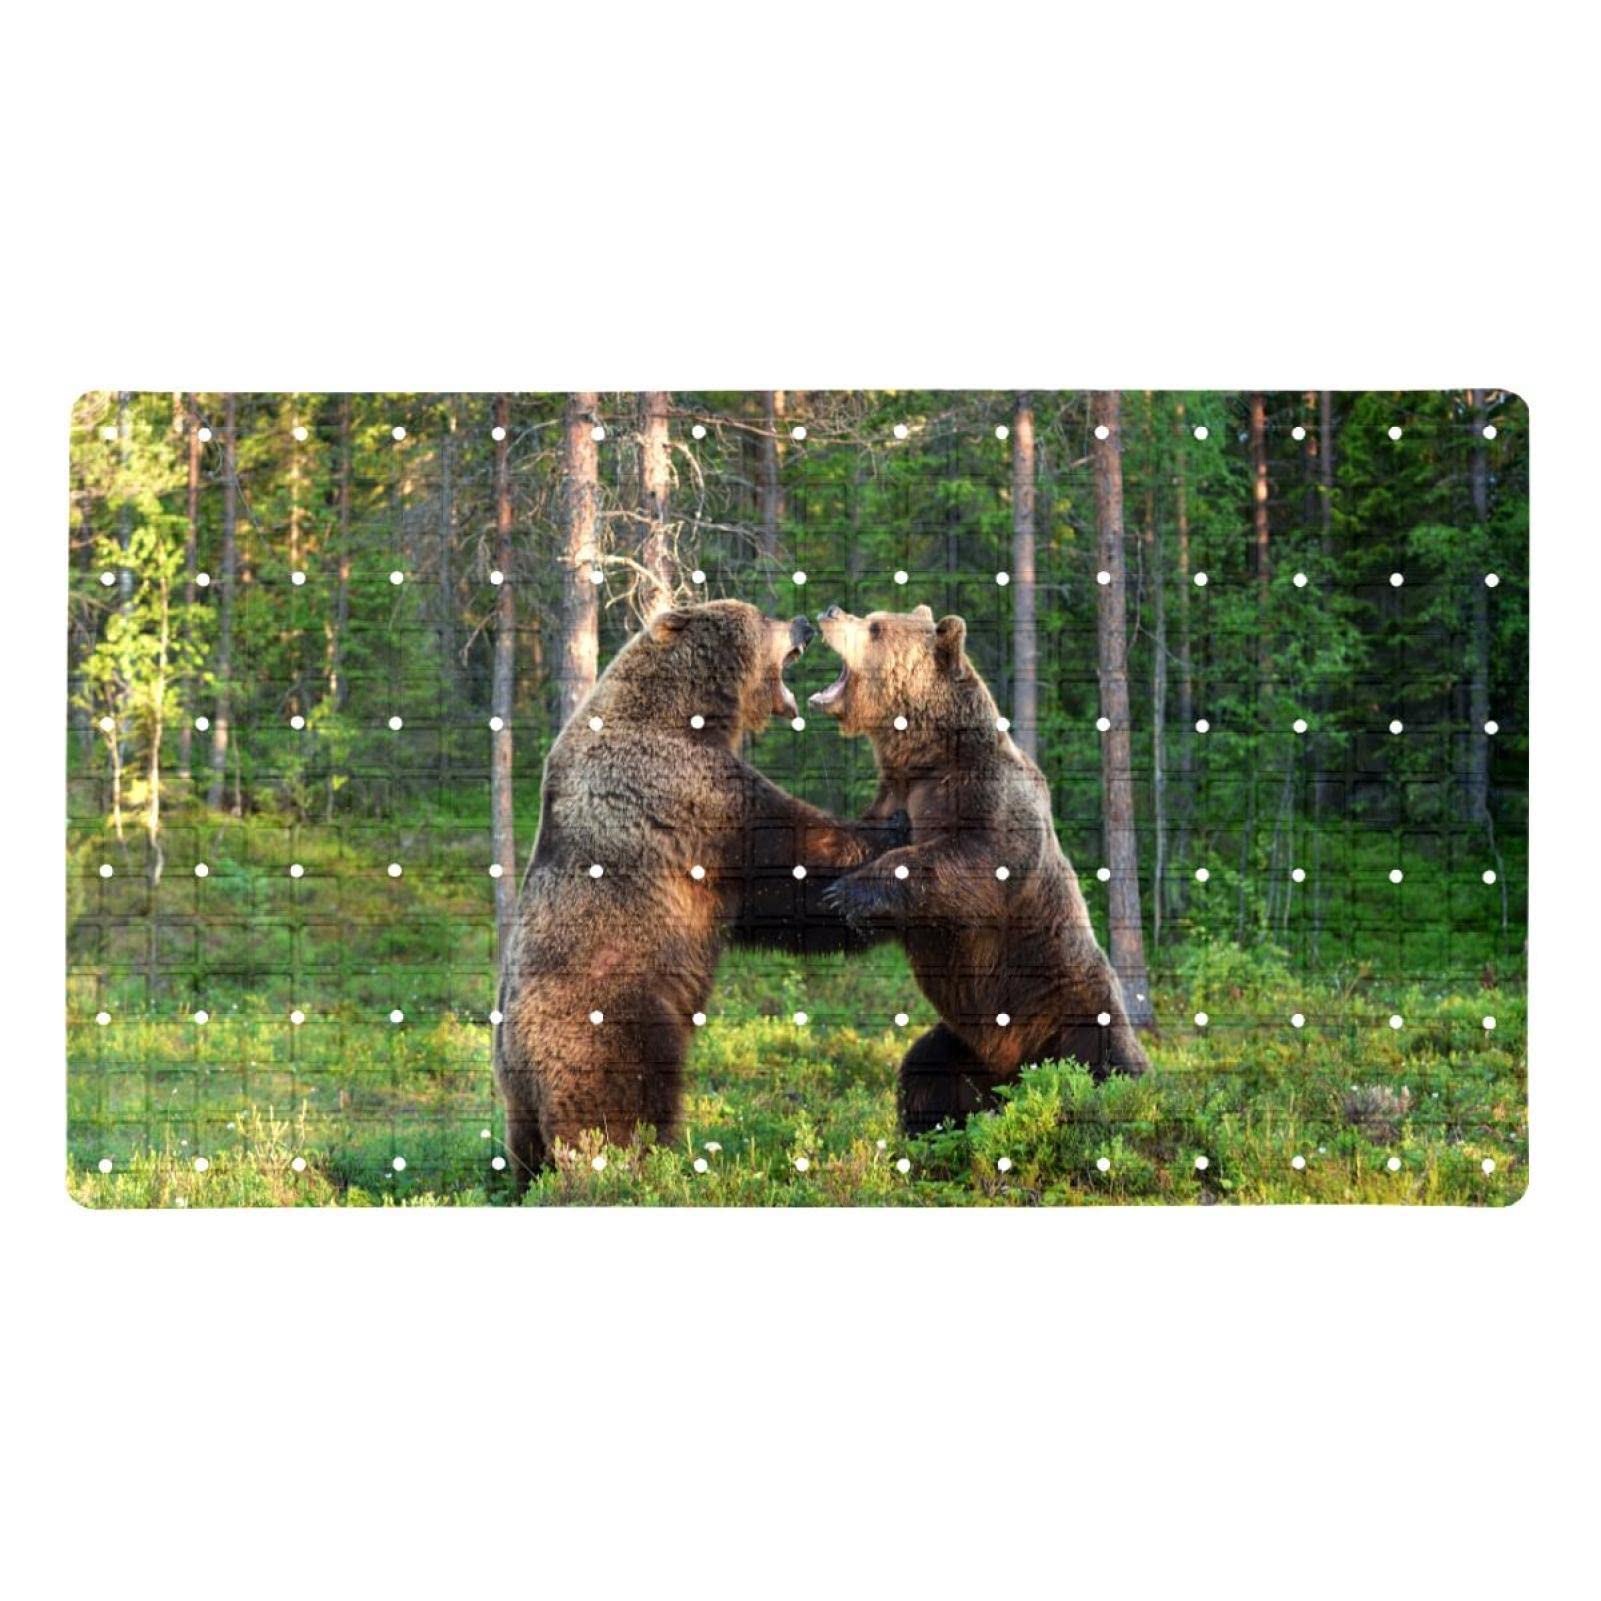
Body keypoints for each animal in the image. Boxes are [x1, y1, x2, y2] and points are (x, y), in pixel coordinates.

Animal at [494, 598, 903, 1184]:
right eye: (760, 616)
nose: (803, 621)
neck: (688, 713)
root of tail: (518, 1062)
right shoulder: (693, 793)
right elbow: (789, 854)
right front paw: (891, 829)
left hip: (520, 1104)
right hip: (612, 1021)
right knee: (618, 1109)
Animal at [808, 602, 1149, 1133]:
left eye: (876, 626)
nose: (829, 610)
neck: (925, 757)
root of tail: (1011, 1076)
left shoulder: (987, 795)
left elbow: (976, 863)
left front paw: (853, 891)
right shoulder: (895, 799)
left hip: (1072, 1015)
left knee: (1107, 1069)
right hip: (964, 1046)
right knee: (924, 1072)